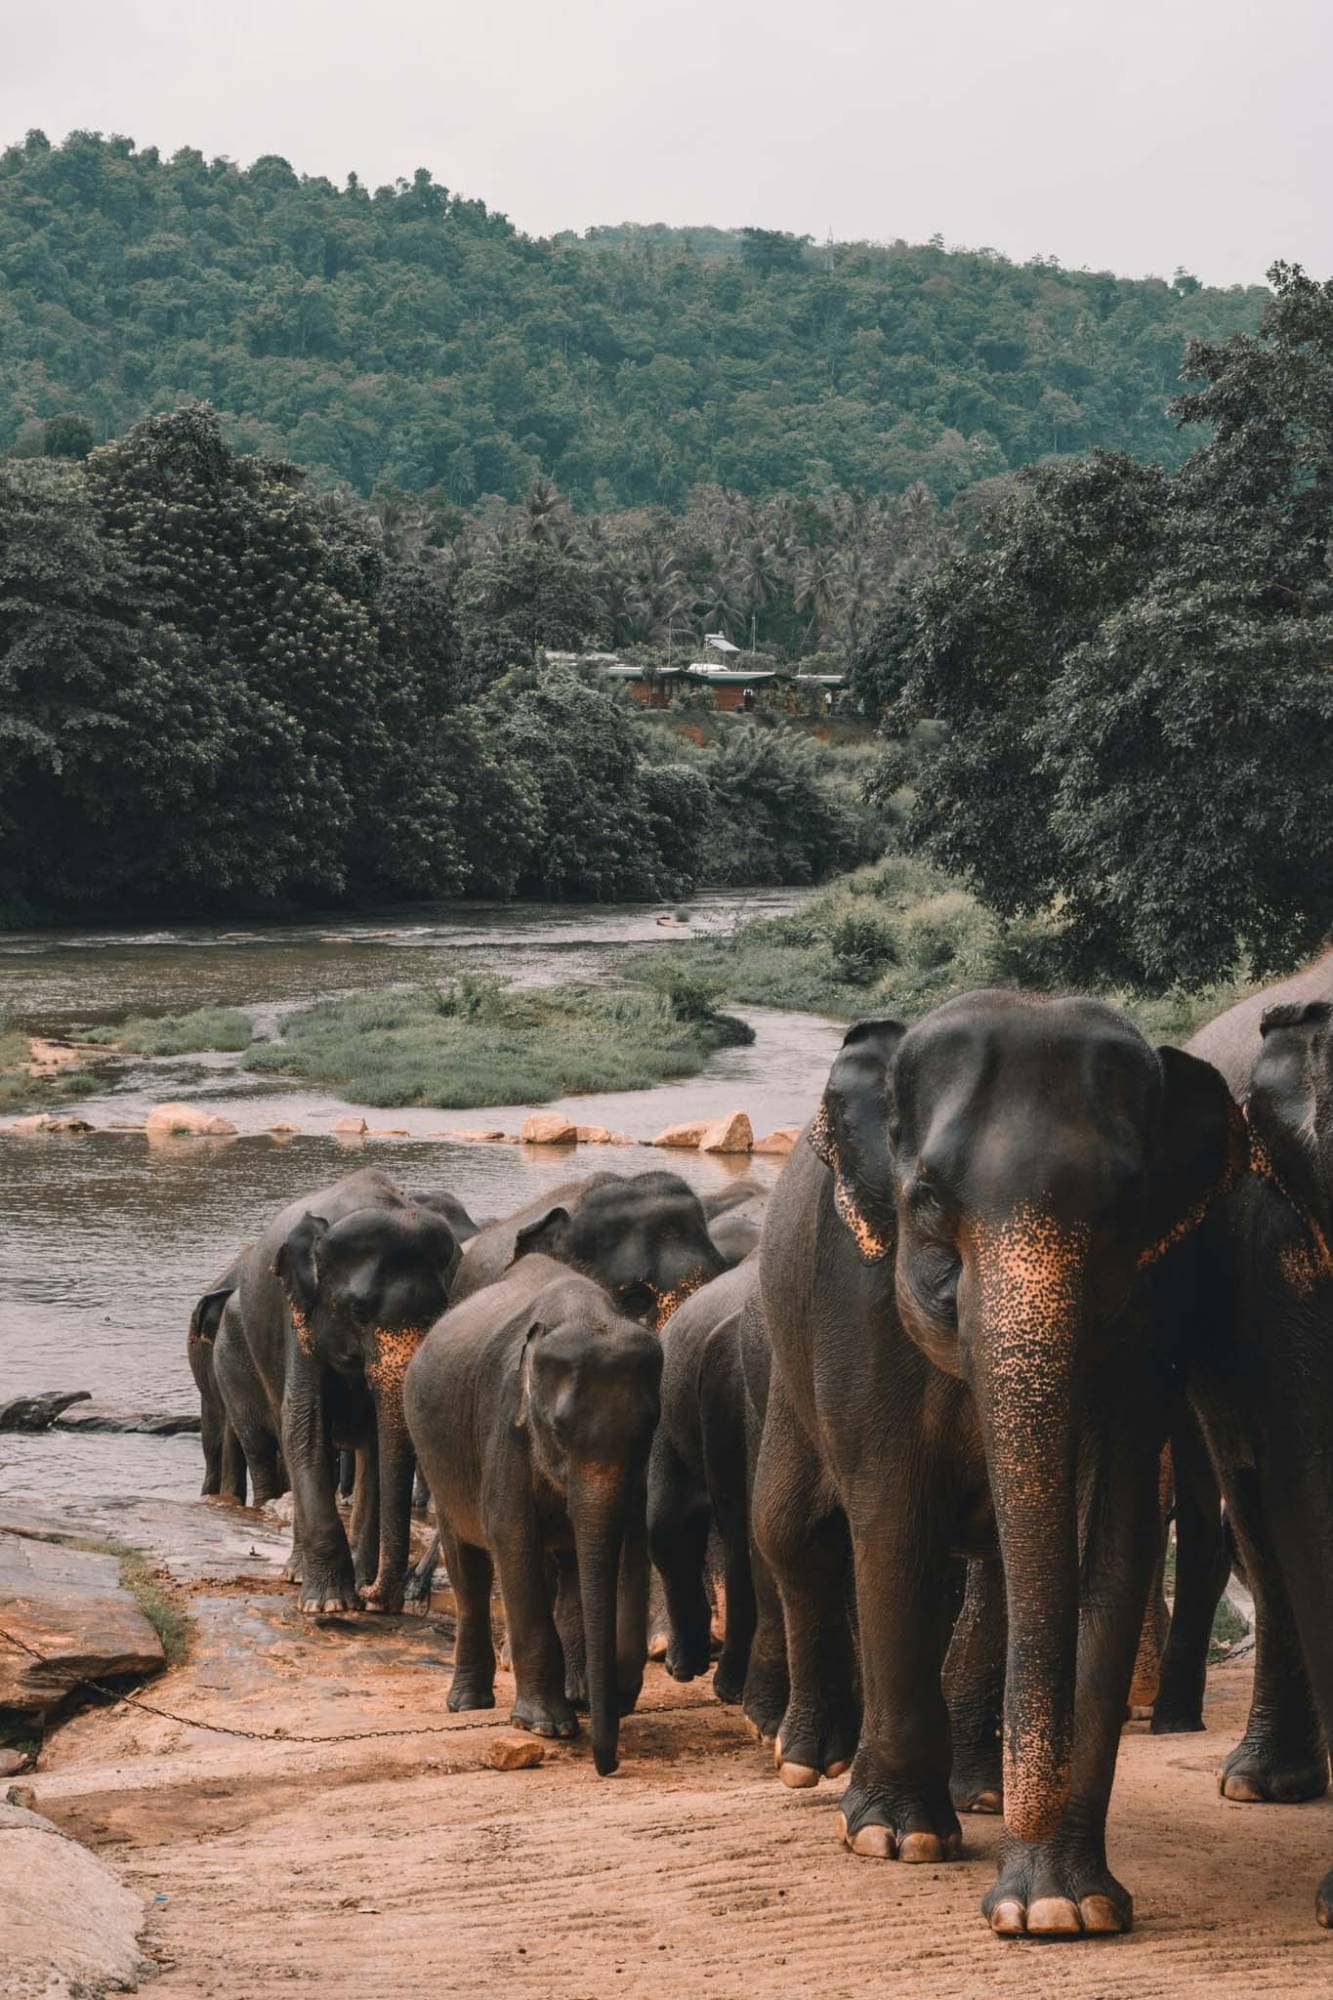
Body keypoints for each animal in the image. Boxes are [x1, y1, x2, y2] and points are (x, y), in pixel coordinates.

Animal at [229, 1168, 462, 1613]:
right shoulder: (298, 1320)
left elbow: (377, 1444)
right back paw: (298, 1573)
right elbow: (305, 1429)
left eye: (440, 1311)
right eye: (358, 1310)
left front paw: (359, 1589)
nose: (375, 1595)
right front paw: (331, 1605)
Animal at [404, 1255, 662, 1775]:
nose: (607, 1766)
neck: (586, 1314)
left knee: (566, 1566)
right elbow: (512, 1537)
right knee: (469, 1568)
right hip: (439, 1460)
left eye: (649, 1426)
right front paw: (547, 1726)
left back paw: (574, 1692)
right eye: (558, 1429)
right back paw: (468, 1704)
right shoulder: (505, 1424)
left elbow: (619, 1543)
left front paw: (598, 1699)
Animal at [752, 991, 1241, 1939]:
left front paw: (1060, 1907)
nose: (1027, 1804)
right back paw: (808, 1764)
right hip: (786, 1363)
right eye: (926, 1199)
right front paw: (896, 1841)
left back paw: (979, 1792)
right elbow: (891, 1521)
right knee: (791, 1532)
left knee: (997, 1573)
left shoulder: (1154, 1310)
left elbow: (1110, 1542)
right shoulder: (853, 1294)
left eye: (1124, 1206)